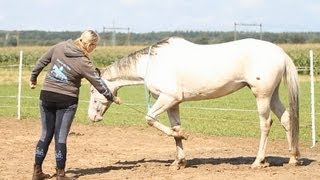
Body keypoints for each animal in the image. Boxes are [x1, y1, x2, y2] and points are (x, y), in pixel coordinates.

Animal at [87, 37, 300, 169]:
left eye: (91, 89)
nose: (91, 117)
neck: (151, 64)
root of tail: (280, 52)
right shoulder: (173, 104)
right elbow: (174, 130)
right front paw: (179, 161)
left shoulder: (168, 98)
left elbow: (151, 119)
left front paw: (183, 136)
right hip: (273, 95)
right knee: (286, 119)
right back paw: (292, 157)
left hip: (261, 95)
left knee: (266, 124)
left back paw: (258, 161)